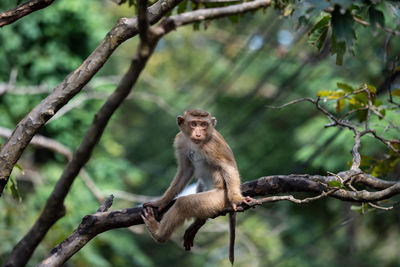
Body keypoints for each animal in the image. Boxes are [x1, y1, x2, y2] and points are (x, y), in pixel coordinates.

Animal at [141, 110, 253, 264]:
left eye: (203, 124)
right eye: (194, 124)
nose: (198, 133)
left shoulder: (213, 144)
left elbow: (229, 167)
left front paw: (237, 199)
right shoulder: (180, 141)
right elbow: (185, 170)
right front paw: (161, 201)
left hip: (219, 198)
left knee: (183, 204)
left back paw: (159, 234)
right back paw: (199, 221)